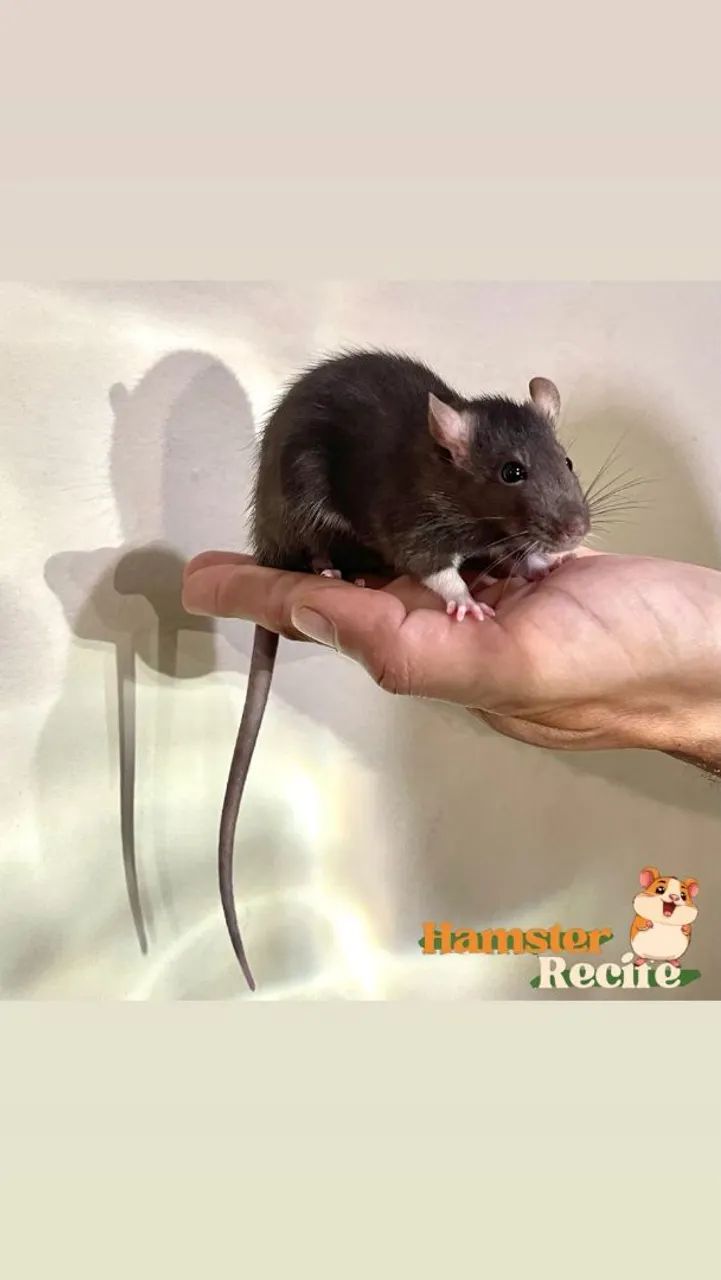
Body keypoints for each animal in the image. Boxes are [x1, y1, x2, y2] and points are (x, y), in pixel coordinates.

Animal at [220, 349, 592, 990]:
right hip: (300, 495)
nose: (576, 530)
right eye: (512, 472)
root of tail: (265, 536)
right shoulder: (415, 519)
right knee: (314, 543)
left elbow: (515, 554)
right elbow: (427, 562)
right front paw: (465, 599)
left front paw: (542, 565)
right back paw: (331, 571)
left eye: (566, 460)